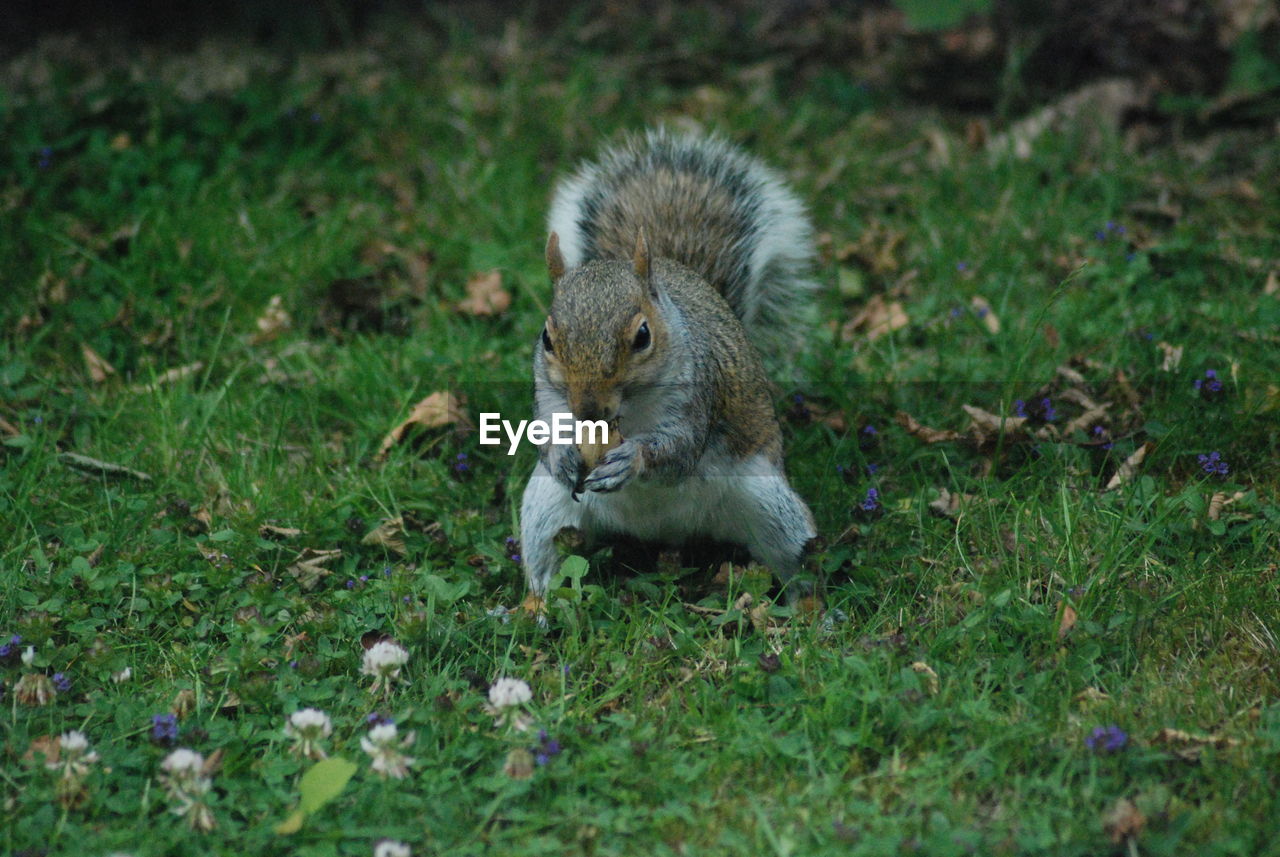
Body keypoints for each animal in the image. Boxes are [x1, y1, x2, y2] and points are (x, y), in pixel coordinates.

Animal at [519, 125, 819, 611]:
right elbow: (543, 430)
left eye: (643, 336)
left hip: (772, 509)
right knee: (548, 562)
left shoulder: (698, 394)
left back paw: (806, 610)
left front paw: (632, 459)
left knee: (796, 561)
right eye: (547, 337)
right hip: (547, 512)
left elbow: (680, 449)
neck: (628, 410)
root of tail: (664, 531)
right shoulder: (548, 395)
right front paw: (561, 454)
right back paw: (539, 610)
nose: (588, 410)